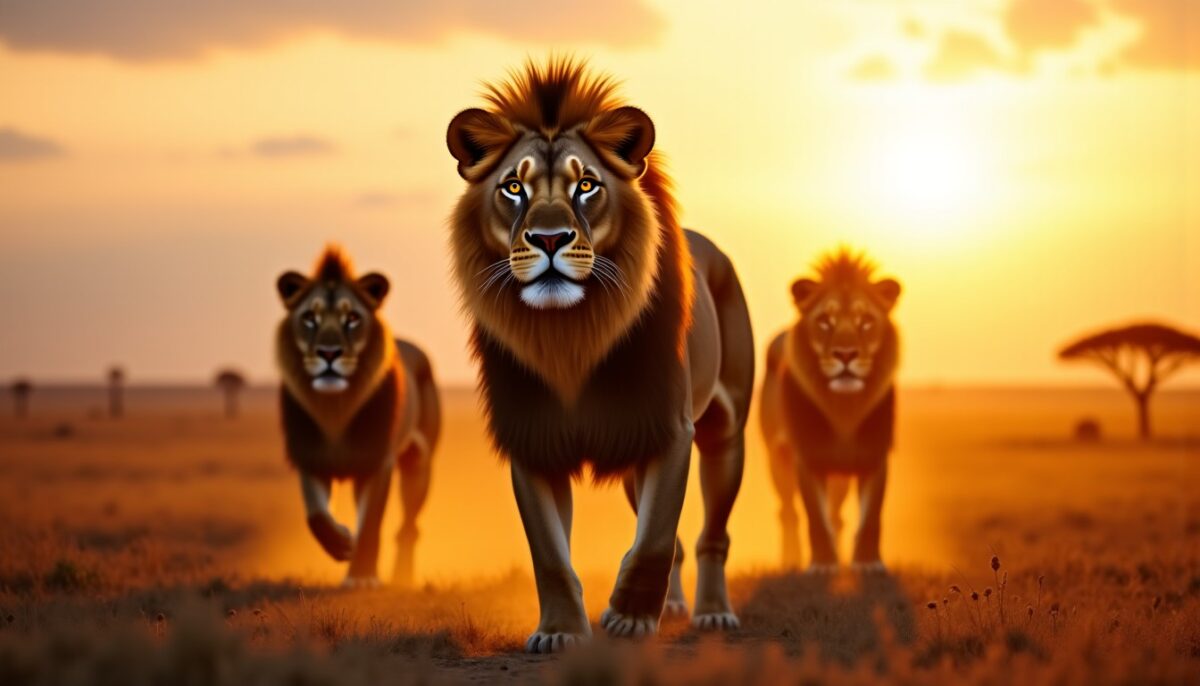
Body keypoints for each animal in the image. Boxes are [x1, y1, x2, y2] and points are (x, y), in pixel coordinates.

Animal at [275, 245, 441, 587]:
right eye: (309, 318)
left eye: (352, 318)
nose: (328, 353)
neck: (336, 407)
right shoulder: (310, 456)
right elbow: (316, 516)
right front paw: (340, 540)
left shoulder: (377, 462)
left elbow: (371, 524)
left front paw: (362, 576)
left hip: (419, 463)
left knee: (408, 527)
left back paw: (402, 578)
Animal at [446, 59, 755, 652]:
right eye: (513, 187)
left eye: (586, 185)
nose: (548, 239)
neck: (571, 334)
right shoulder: (533, 440)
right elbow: (551, 555)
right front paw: (560, 632)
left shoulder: (669, 429)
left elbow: (655, 538)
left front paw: (630, 619)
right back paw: (673, 606)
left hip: (725, 433)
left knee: (711, 534)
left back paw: (712, 613)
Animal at [759, 248, 901, 573]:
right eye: (824, 321)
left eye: (866, 321)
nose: (845, 355)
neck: (843, 408)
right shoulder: (809, 456)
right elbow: (814, 517)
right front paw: (822, 563)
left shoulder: (874, 454)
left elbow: (871, 516)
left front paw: (868, 562)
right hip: (776, 456)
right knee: (788, 511)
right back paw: (791, 562)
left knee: (837, 515)